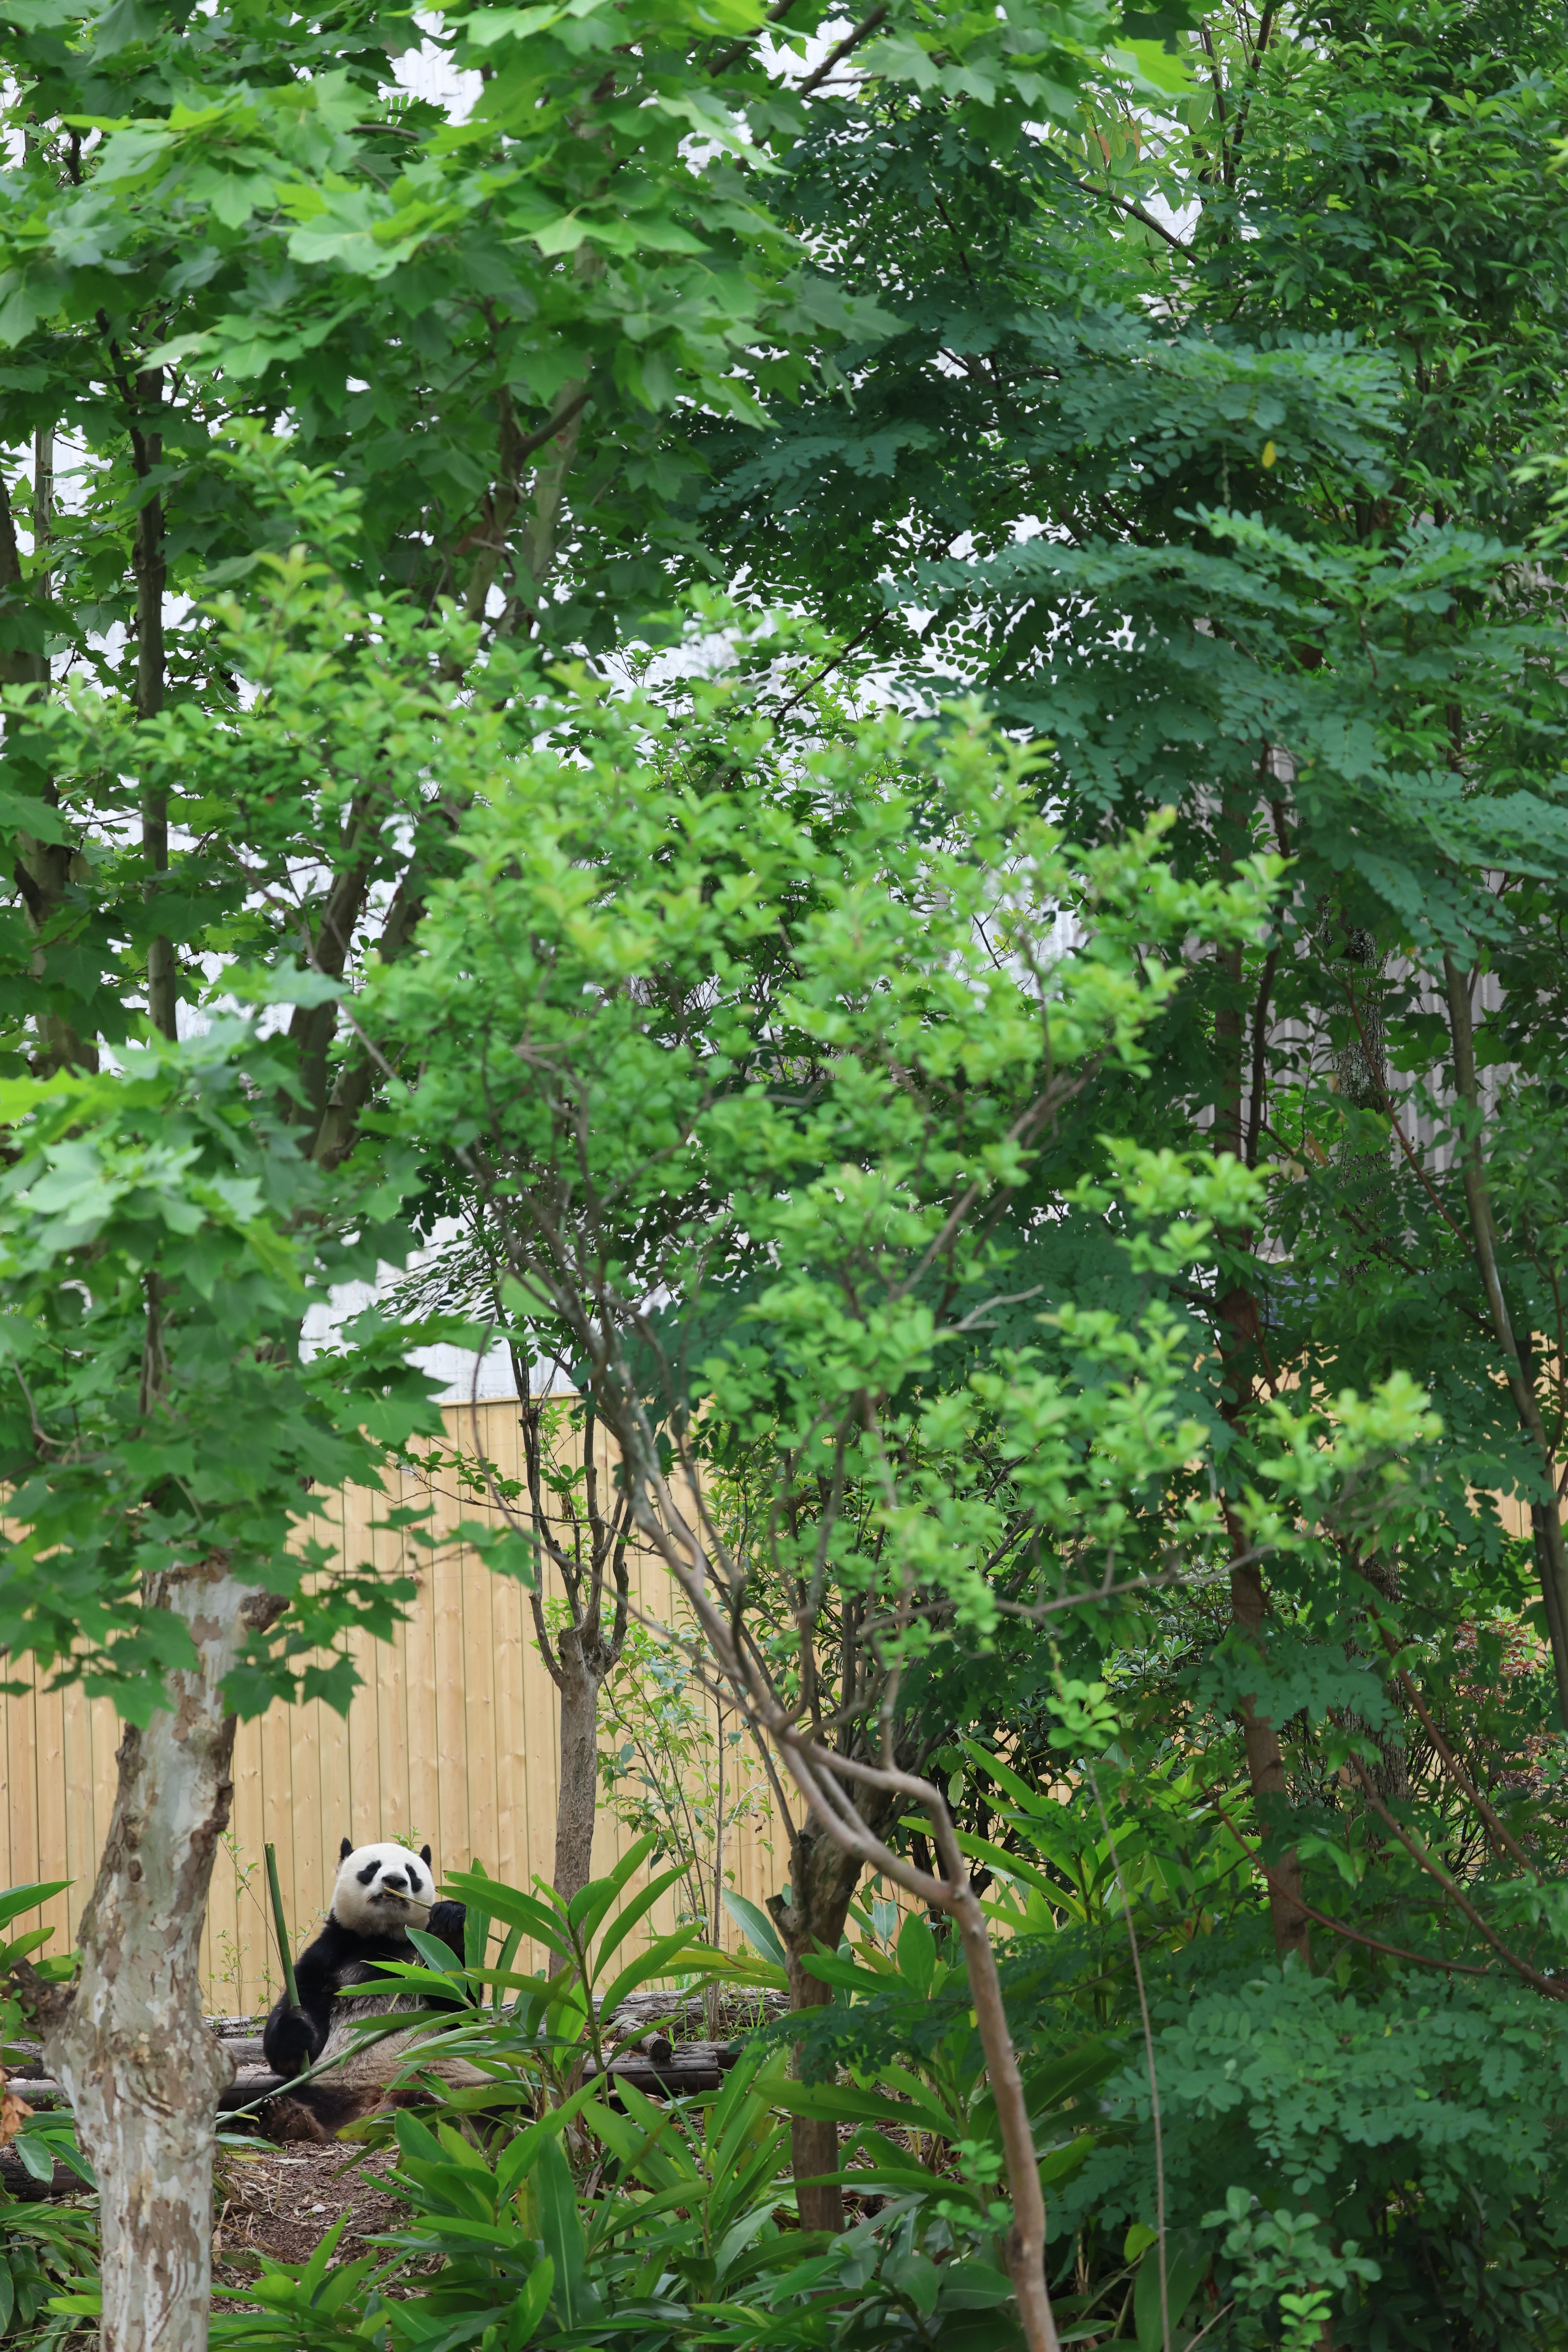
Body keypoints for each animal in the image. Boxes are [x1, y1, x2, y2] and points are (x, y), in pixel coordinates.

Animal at [260, 1838, 485, 2141]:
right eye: (372, 1868)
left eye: (411, 1872)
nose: (395, 1881)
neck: (382, 1938)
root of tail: (375, 2104)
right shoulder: (326, 1957)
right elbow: (291, 2031)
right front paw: (298, 2032)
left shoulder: (420, 1953)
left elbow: (463, 2013)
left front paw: (449, 1923)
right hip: (328, 2084)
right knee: (286, 2094)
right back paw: (288, 2118)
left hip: (459, 2082)